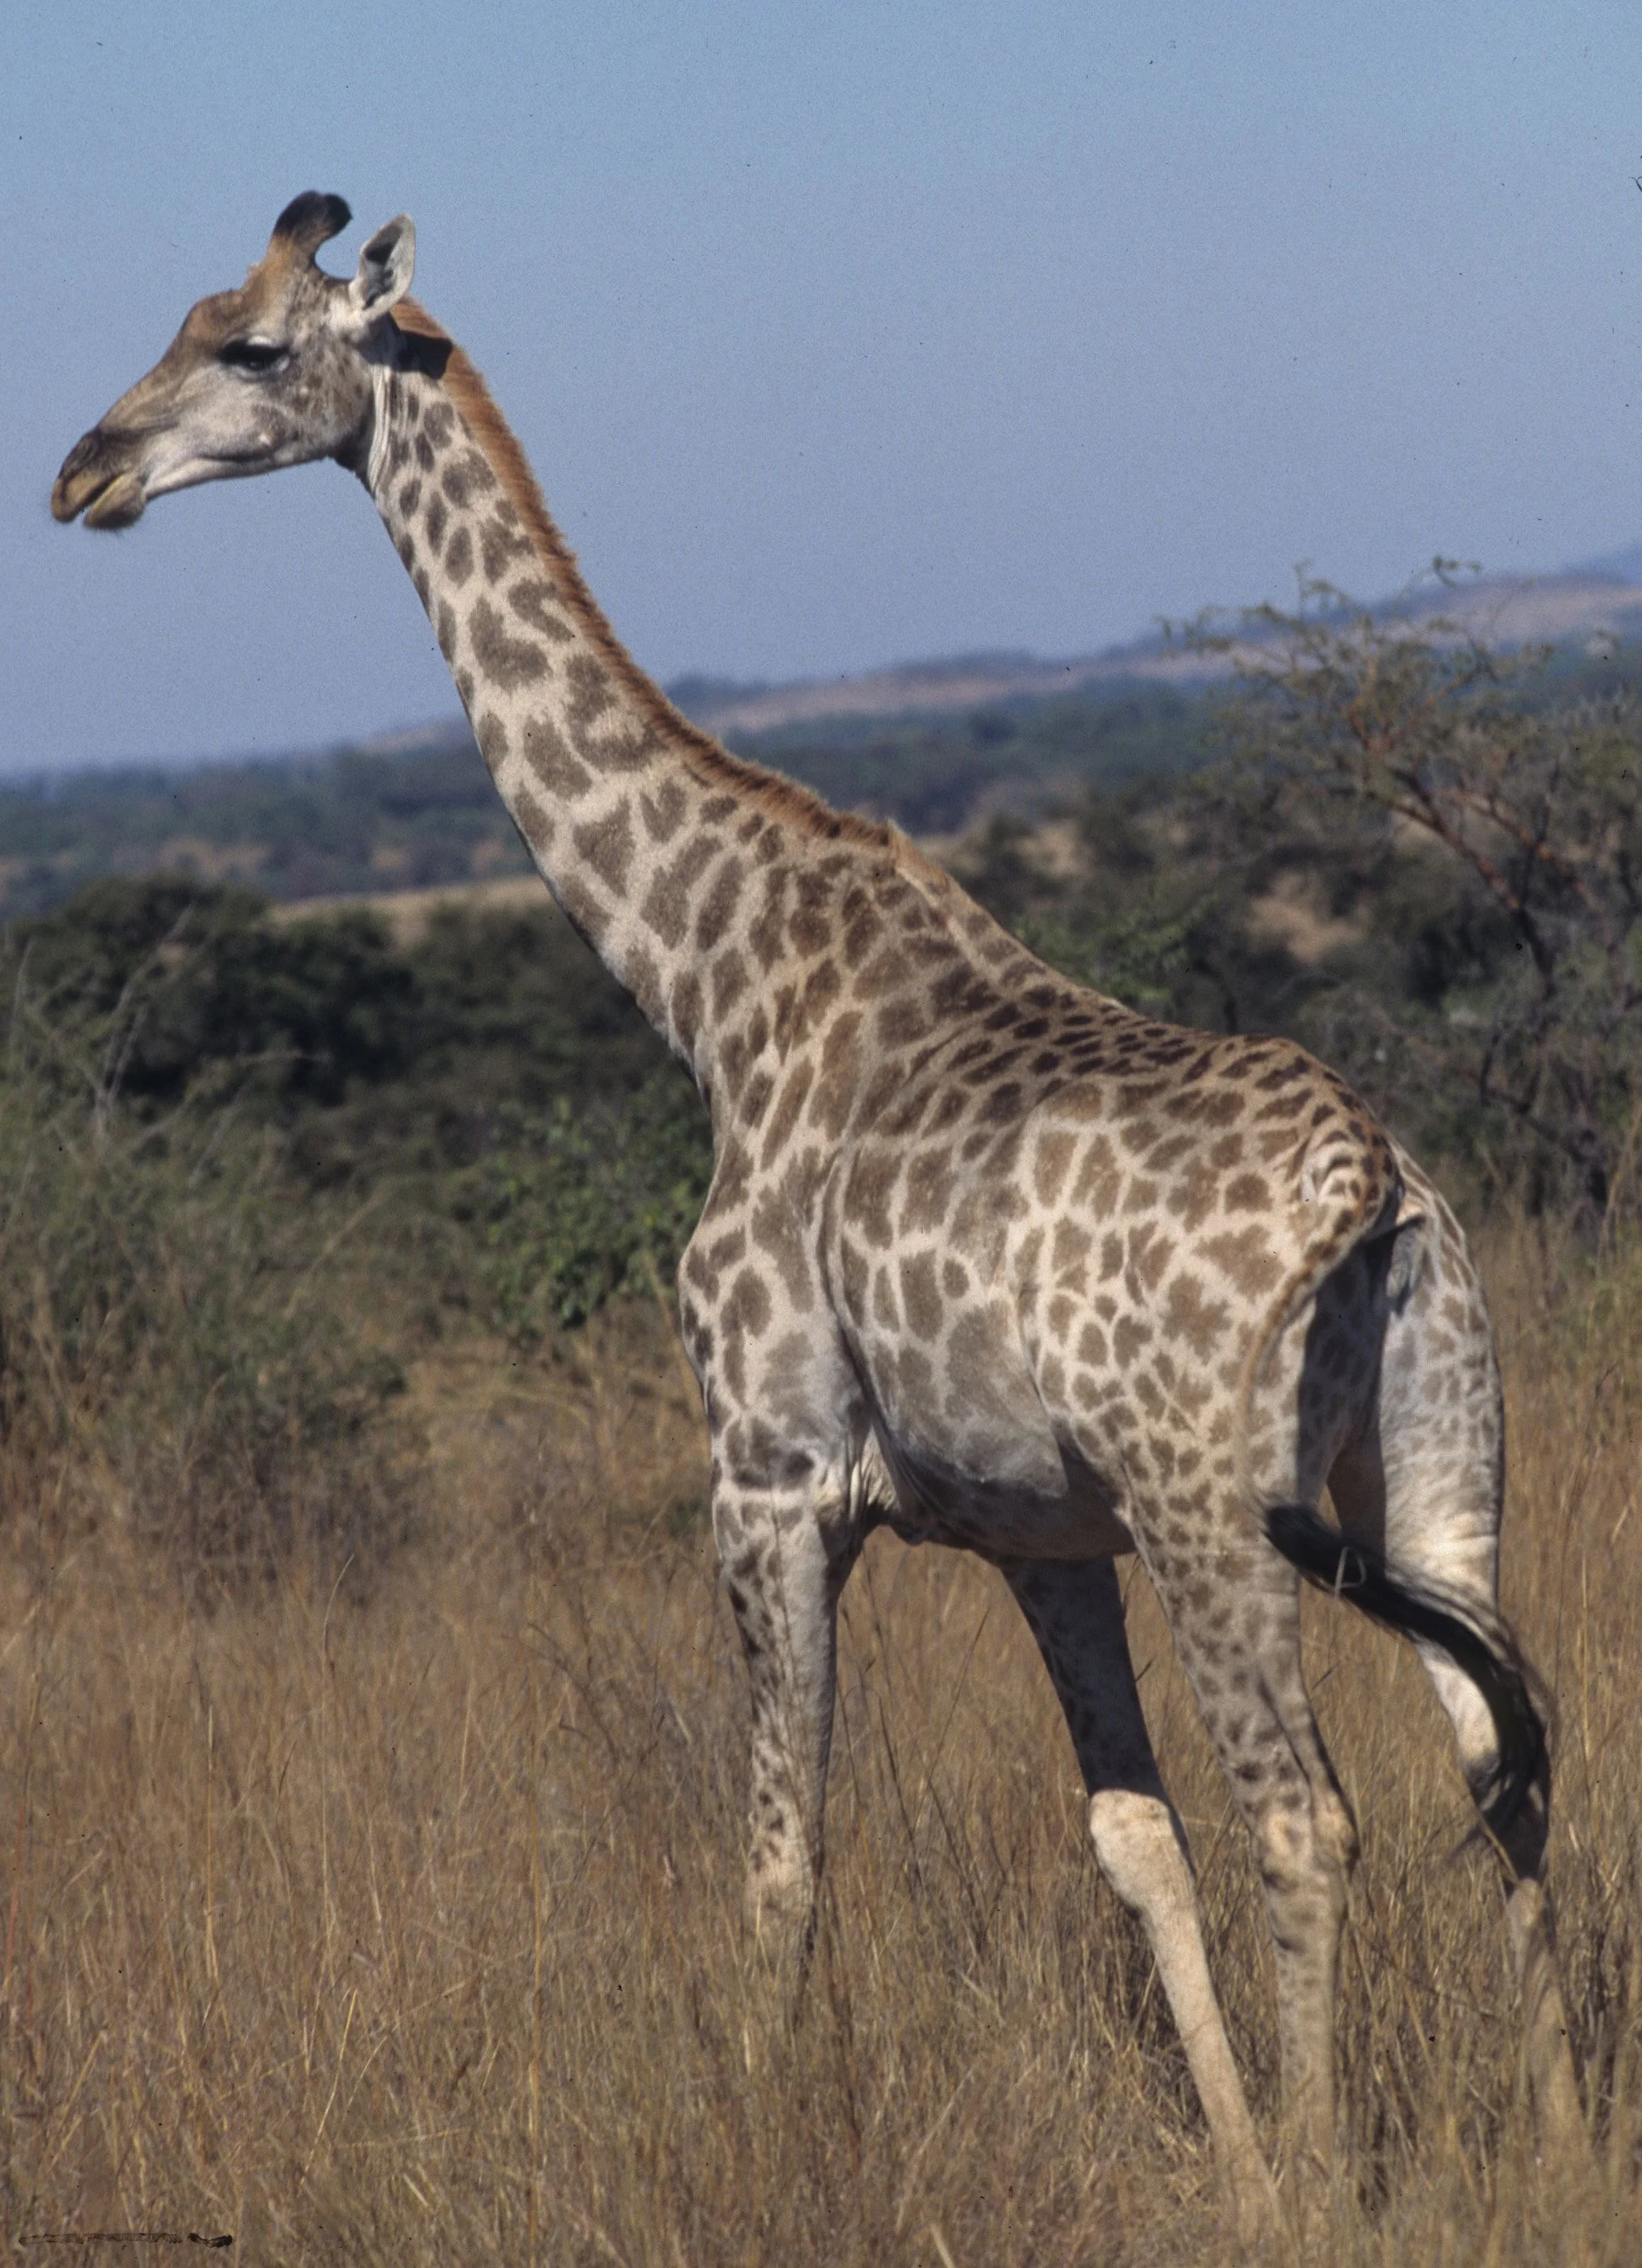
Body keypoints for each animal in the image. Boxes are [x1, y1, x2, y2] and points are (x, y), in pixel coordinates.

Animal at [52, 193, 1584, 2234]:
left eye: (247, 344)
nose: (82, 471)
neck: (705, 981)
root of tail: (1373, 1182)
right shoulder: (1038, 1532)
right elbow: (1127, 1838)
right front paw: (1237, 2166)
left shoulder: (766, 1477)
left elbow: (781, 1852)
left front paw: (774, 2142)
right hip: (1429, 1473)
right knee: (1501, 1760)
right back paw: (1568, 2150)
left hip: (1217, 1508)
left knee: (1304, 1810)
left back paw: (1348, 2179)